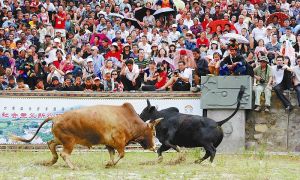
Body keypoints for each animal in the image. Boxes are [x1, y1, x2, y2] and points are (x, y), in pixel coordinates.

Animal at [11, 103, 162, 169]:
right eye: (153, 132)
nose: (155, 147)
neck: (127, 119)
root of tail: (56, 117)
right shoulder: (119, 142)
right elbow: (121, 154)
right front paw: (110, 164)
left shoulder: (109, 144)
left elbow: (112, 155)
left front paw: (109, 163)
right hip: (69, 142)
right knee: (64, 154)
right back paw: (73, 167)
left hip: (61, 139)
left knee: (51, 144)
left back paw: (51, 161)